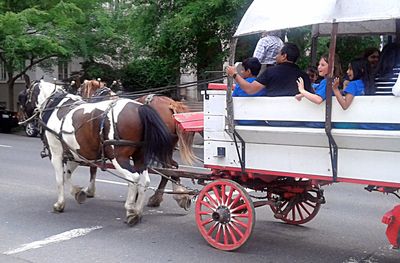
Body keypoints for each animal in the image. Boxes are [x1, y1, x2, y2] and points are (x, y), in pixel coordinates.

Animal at [26, 79, 173, 226]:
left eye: (27, 93)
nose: (28, 120)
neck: (56, 106)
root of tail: (139, 108)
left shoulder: (56, 153)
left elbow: (60, 179)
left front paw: (60, 204)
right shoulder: (75, 155)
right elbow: (67, 175)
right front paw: (78, 193)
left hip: (118, 158)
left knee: (134, 178)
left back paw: (131, 210)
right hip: (140, 157)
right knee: (145, 181)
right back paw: (138, 211)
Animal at [79, 79, 195, 211]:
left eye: (80, 89)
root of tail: (171, 104)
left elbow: (93, 167)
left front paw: (90, 191)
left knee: (168, 168)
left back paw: (161, 197)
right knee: (173, 167)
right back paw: (176, 195)